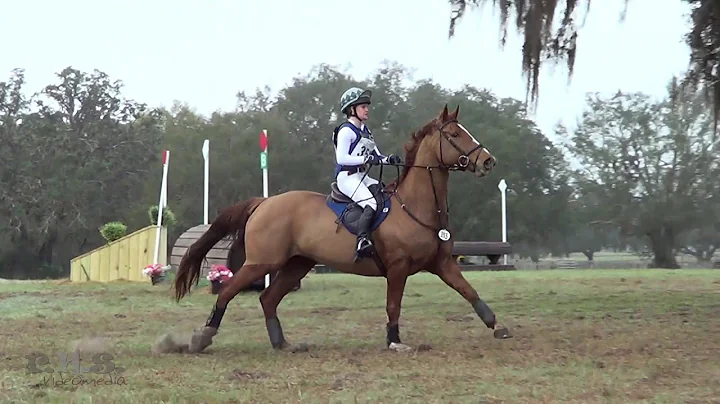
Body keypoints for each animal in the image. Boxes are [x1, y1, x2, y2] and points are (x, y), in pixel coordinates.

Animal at [174, 105, 512, 354]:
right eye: (454, 134)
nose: (488, 161)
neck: (416, 206)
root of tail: (264, 202)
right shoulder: (398, 267)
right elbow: (393, 304)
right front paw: (394, 341)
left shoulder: (441, 263)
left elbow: (470, 291)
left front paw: (498, 326)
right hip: (262, 262)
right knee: (228, 291)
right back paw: (203, 336)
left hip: (297, 264)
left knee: (268, 298)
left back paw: (282, 343)